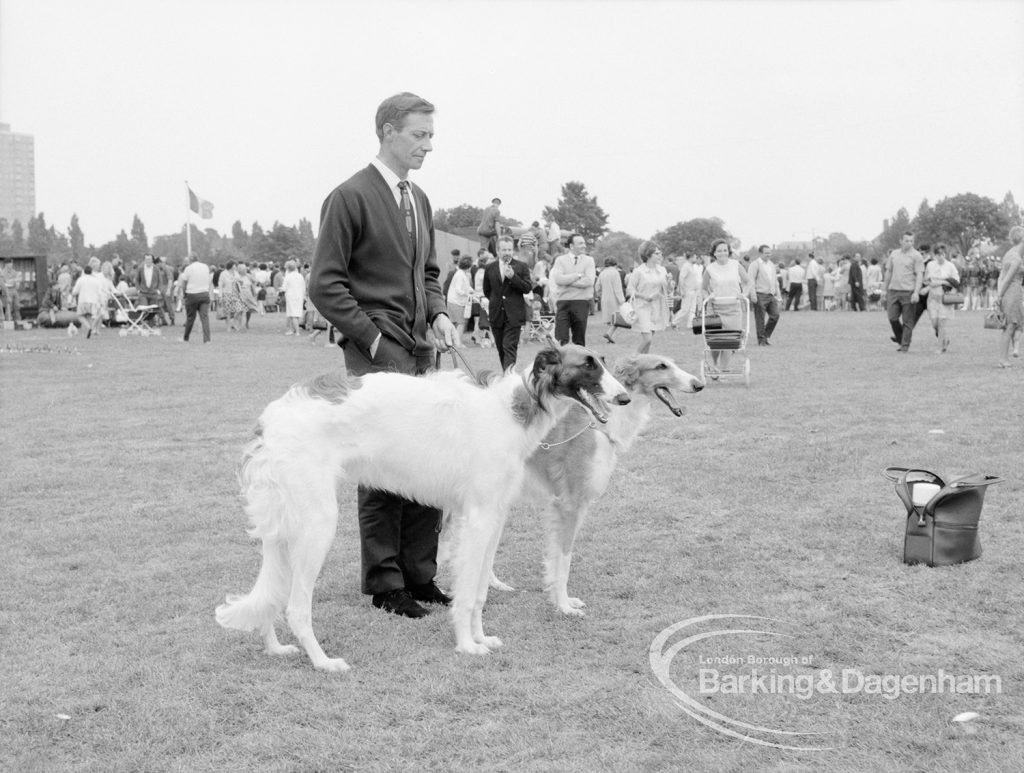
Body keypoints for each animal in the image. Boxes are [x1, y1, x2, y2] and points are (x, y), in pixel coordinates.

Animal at [216, 344, 626, 671]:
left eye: (603, 361)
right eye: (588, 365)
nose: (624, 398)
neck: (513, 410)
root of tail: (269, 420)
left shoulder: (493, 517)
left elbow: (479, 591)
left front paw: (481, 638)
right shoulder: (478, 519)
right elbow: (468, 593)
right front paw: (467, 645)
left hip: (286, 526)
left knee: (272, 592)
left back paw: (275, 648)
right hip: (317, 524)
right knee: (297, 607)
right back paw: (323, 662)